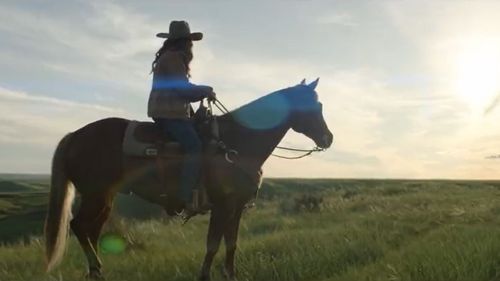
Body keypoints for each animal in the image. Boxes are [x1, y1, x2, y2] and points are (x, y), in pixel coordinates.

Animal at [43, 77, 332, 280]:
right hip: (96, 195)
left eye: (319, 104)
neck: (237, 141)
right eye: (312, 106)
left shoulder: (236, 206)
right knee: (80, 226)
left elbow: (231, 244)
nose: (328, 139)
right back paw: (96, 268)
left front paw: (231, 275)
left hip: (105, 198)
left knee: (91, 230)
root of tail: (75, 135)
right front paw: (204, 276)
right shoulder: (222, 205)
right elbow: (213, 244)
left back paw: (96, 271)